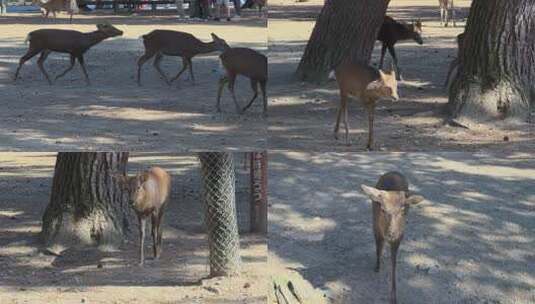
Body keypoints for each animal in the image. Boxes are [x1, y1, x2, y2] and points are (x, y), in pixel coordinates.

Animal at [362, 171, 426, 304]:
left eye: (402, 210)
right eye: (382, 209)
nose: (392, 233)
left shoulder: (400, 237)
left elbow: (394, 264)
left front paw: (394, 297)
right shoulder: (375, 228)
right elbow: (378, 249)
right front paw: (377, 267)